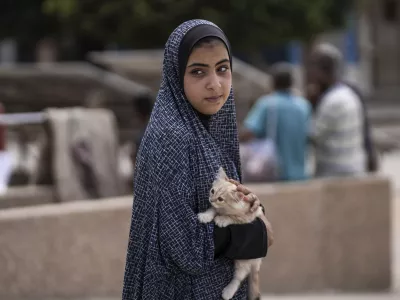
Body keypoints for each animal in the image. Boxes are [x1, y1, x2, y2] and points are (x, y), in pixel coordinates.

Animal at [198, 166, 266, 300]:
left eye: (220, 199)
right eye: (212, 191)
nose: (211, 199)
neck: (226, 209)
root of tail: (257, 263)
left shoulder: (248, 217)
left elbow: (232, 218)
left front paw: (222, 219)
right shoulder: (216, 208)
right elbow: (212, 210)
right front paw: (205, 216)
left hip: (244, 262)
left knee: (239, 277)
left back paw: (228, 291)